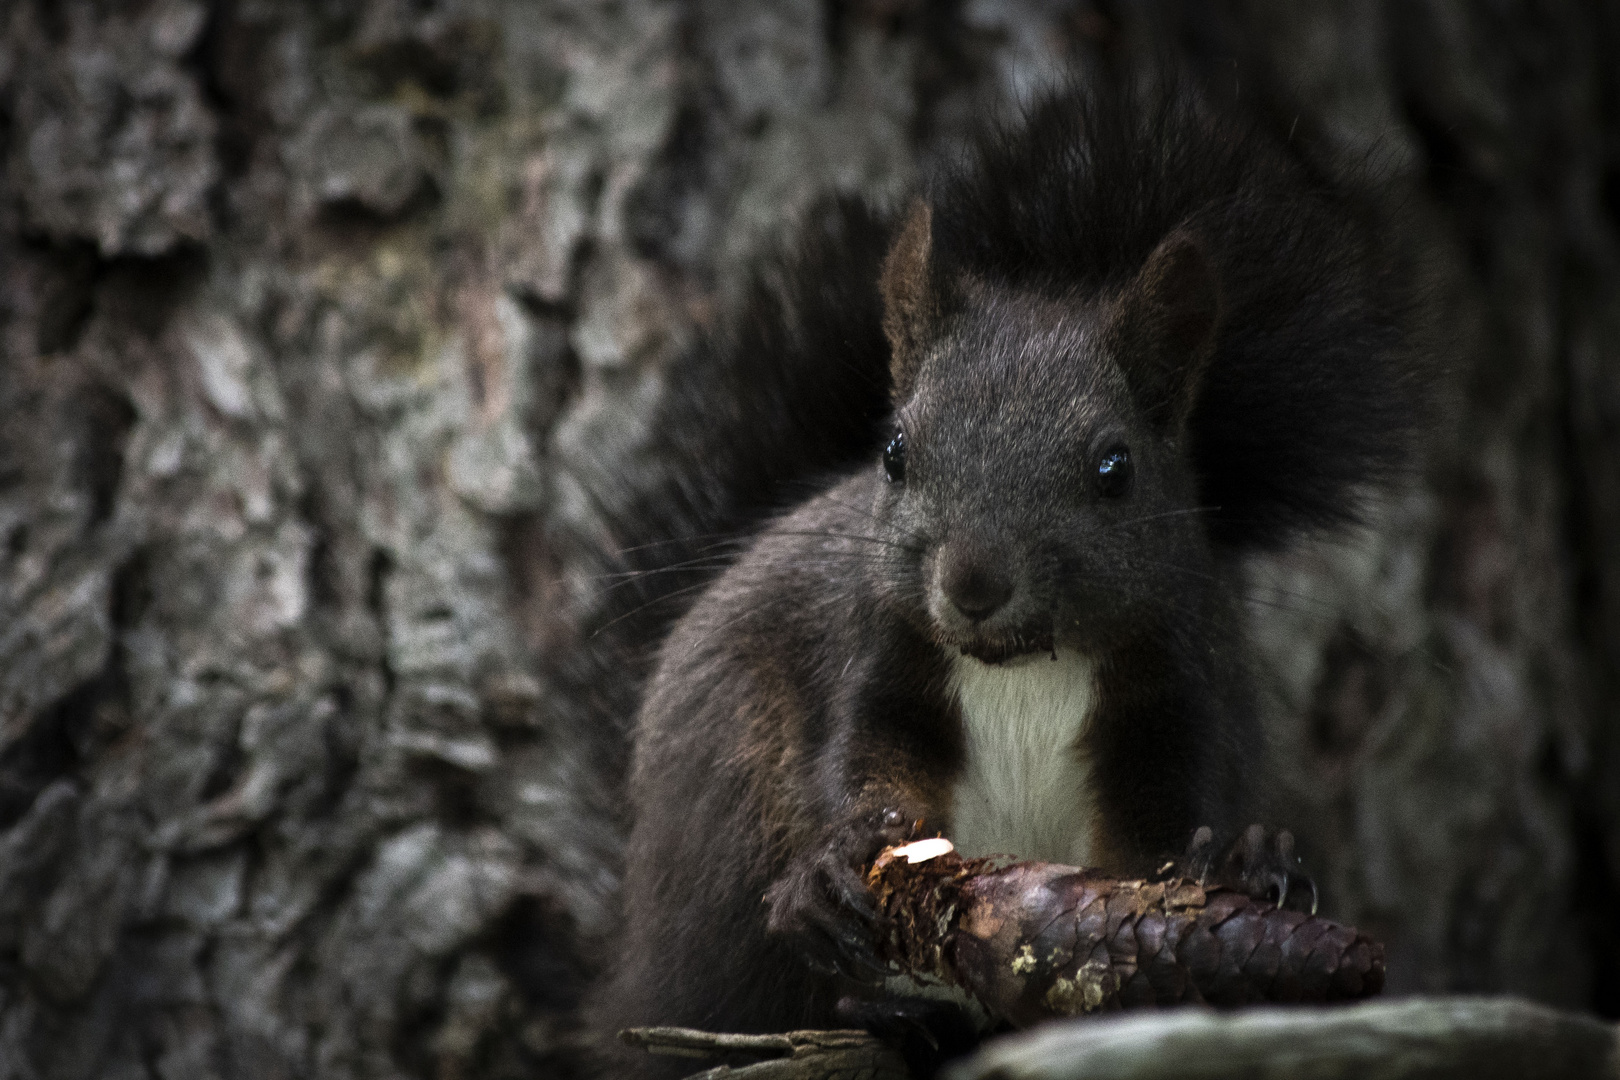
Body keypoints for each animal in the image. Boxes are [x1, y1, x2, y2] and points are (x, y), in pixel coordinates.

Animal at [583, 78, 1432, 1080]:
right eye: (893, 450)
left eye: (1114, 468)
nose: (974, 584)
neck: (1022, 667)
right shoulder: (877, 661)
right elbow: (863, 767)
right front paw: (830, 873)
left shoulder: (1176, 691)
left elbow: (1166, 820)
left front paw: (1247, 864)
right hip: (729, 811)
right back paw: (875, 1001)